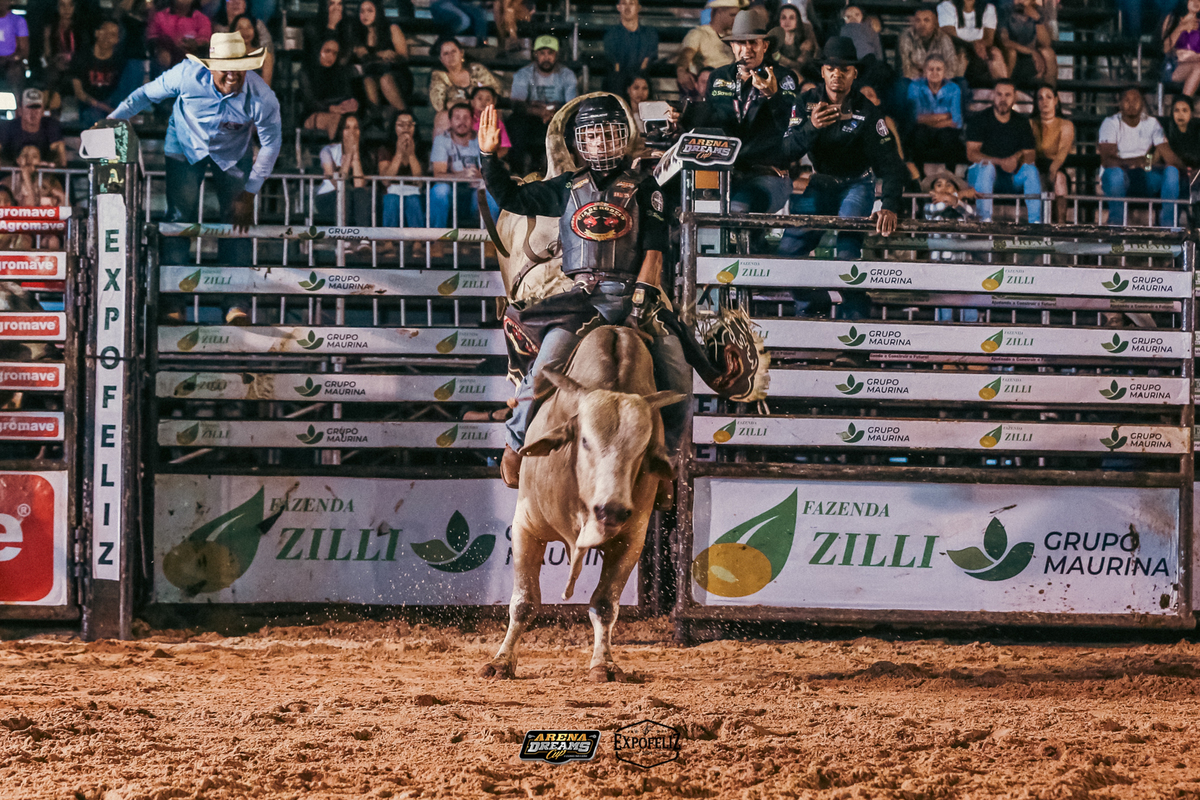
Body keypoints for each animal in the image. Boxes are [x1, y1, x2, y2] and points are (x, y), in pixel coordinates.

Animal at [479, 325, 682, 682]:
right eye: (585, 440)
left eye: (642, 450)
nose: (611, 510)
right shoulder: (525, 527)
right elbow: (523, 601)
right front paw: (501, 661)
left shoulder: (631, 539)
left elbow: (605, 604)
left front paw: (604, 664)